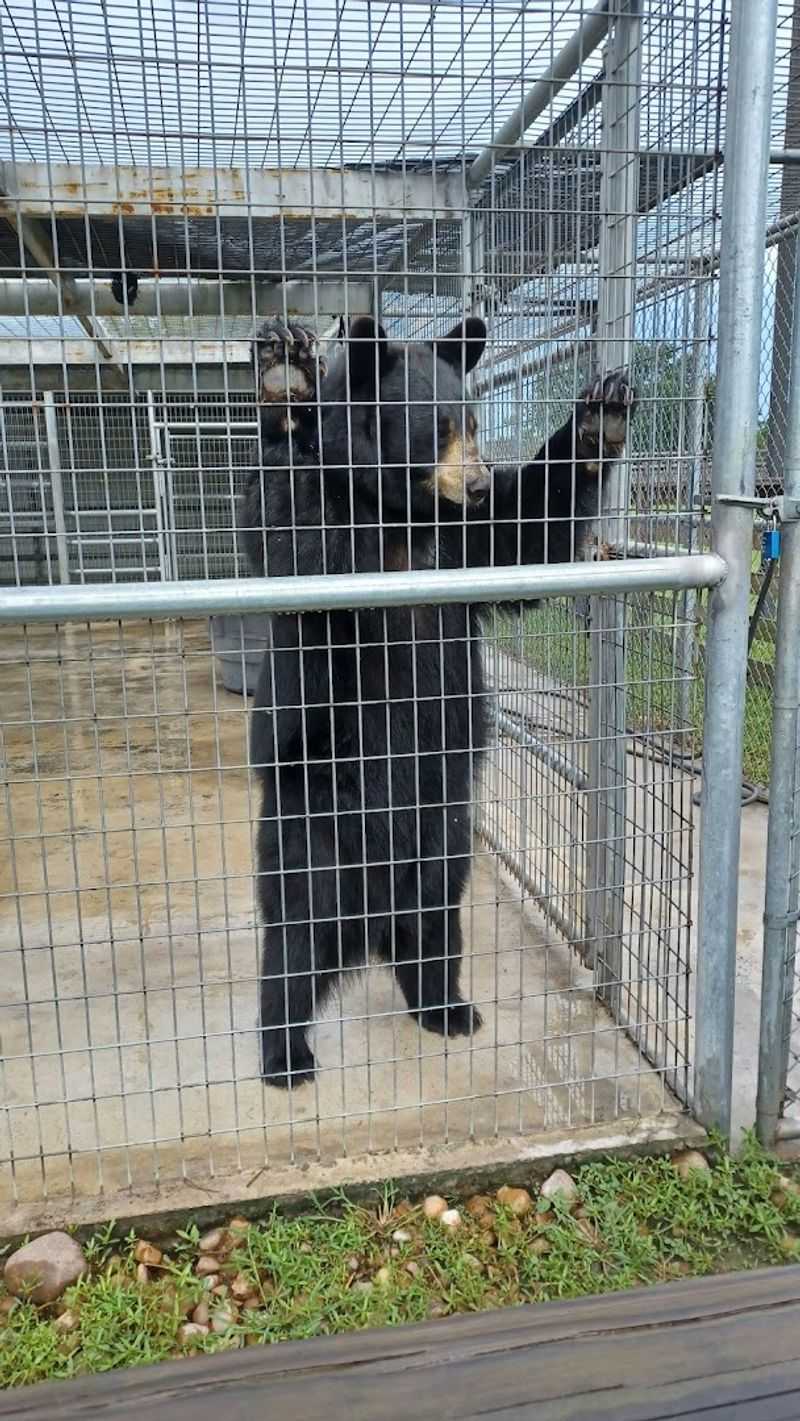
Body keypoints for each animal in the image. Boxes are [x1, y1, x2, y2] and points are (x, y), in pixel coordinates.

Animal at [240, 311, 635, 1087]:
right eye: (438, 428)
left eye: (476, 424)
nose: (478, 482)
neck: (404, 518)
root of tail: (373, 916)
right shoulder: (341, 545)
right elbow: (287, 536)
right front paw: (285, 381)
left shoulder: (461, 549)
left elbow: (524, 534)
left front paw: (600, 416)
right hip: (310, 827)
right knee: (295, 938)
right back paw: (284, 1054)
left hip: (445, 835)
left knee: (434, 923)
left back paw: (446, 1007)